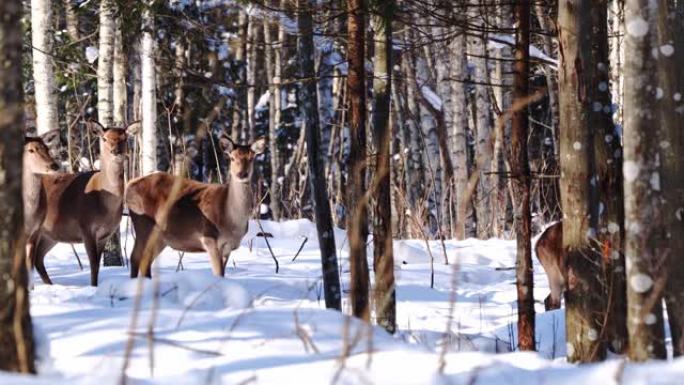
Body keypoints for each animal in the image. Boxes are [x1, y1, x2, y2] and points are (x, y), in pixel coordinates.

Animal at [30, 120, 139, 284]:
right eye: (104, 138)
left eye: (124, 138)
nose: (115, 151)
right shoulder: (85, 226)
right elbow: (93, 263)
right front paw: (93, 286)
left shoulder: (105, 234)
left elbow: (97, 265)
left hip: (50, 234)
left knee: (38, 258)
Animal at [124, 134, 266, 276]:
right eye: (232, 158)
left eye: (251, 158)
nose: (242, 174)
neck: (231, 222)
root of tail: (129, 184)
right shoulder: (209, 238)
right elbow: (218, 273)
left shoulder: (229, 247)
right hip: (143, 224)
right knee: (135, 257)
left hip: (161, 237)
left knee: (146, 260)